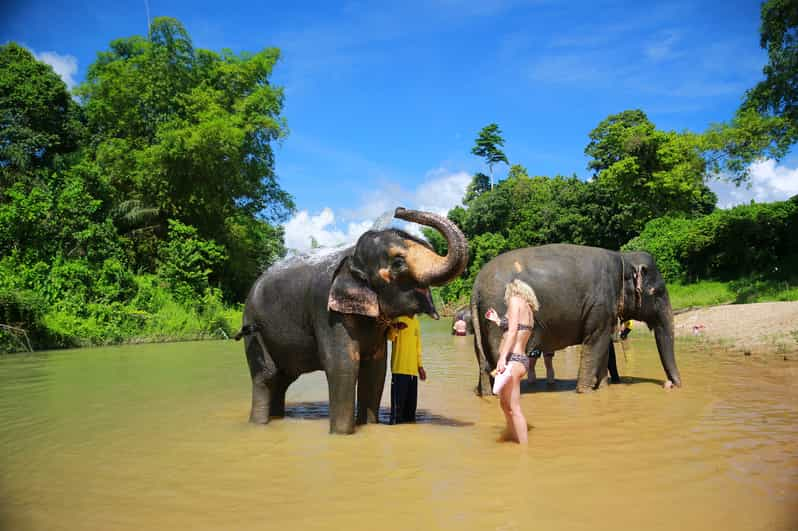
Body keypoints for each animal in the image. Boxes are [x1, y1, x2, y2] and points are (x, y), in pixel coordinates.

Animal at [236, 206, 468, 434]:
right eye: (398, 263)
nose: (399, 209)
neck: (352, 256)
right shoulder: (327, 311)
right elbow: (343, 366)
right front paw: (342, 435)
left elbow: (375, 370)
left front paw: (370, 427)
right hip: (253, 329)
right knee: (266, 377)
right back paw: (259, 423)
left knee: (281, 380)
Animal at [472, 244, 684, 394]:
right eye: (656, 293)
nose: (670, 385)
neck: (623, 258)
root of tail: (476, 287)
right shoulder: (600, 305)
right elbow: (595, 343)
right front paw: (585, 391)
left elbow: (602, 347)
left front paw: (602, 388)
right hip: (501, 316)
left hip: (482, 325)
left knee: (484, 363)